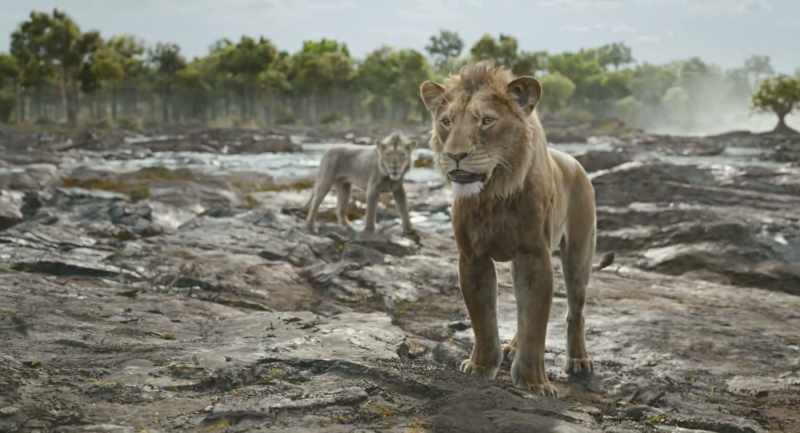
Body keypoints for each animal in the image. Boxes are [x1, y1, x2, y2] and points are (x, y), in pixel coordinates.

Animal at [419, 62, 609, 397]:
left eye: (486, 121)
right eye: (446, 121)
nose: (455, 155)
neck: (492, 194)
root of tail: (574, 161)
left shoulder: (533, 255)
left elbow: (535, 320)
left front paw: (535, 383)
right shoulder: (472, 257)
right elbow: (484, 318)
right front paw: (481, 366)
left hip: (579, 254)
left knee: (576, 310)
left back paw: (579, 361)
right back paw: (512, 349)